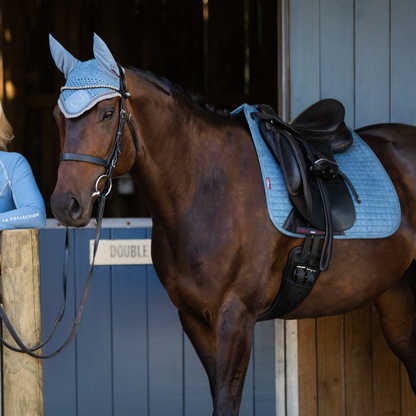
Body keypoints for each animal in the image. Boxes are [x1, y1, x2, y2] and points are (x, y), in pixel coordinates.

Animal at [49, 34, 416, 414]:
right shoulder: (194, 318)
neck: (208, 188)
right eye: (57, 118)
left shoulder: (236, 317)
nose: (65, 205)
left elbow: (227, 401)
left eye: (107, 114)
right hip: (397, 294)